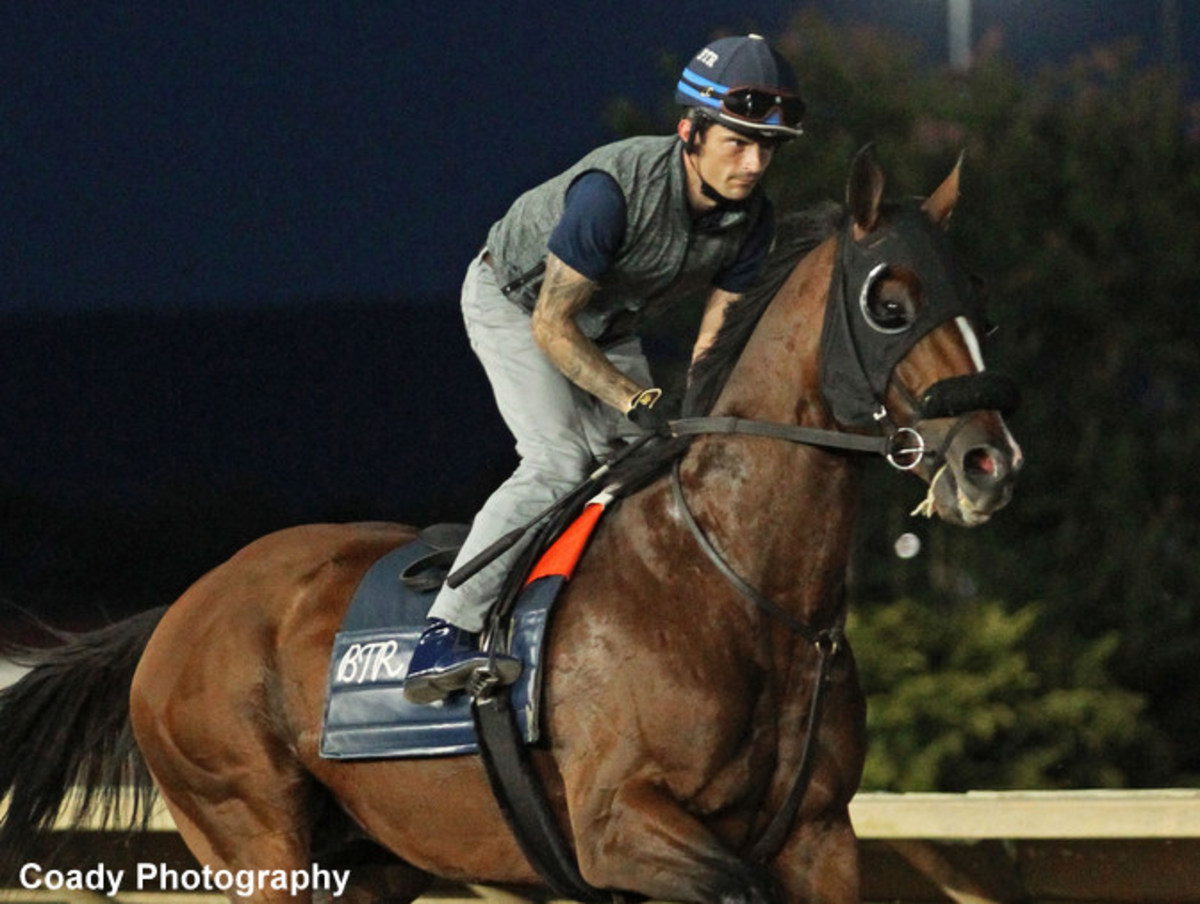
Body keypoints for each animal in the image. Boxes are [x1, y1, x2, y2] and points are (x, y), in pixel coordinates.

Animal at [0, 144, 1022, 897]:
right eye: (888, 301)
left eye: (977, 292)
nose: (989, 461)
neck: (734, 582)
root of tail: (175, 614)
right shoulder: (619, 826)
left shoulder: (820, 836)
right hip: (253, 838)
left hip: (370, 862)